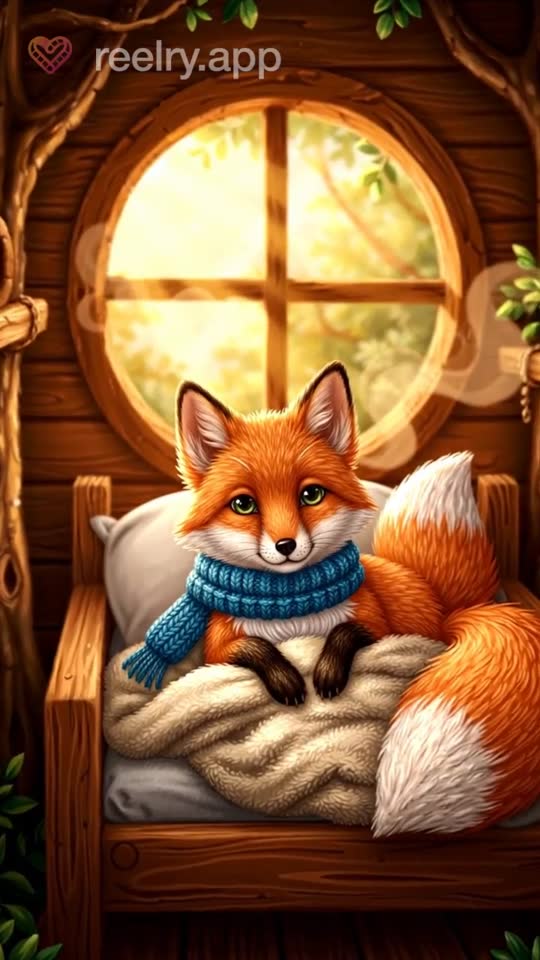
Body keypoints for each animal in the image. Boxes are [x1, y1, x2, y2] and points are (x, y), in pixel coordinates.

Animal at [175, 361, 540, 831]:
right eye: (243, 505)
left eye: (311, 494)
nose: (286, 546)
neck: (292, 608)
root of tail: (441, 600)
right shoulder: (218, 648)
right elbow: (255, 646)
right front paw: (286, 678)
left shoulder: (378, 625)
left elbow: (345, 631)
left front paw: (327, 673)